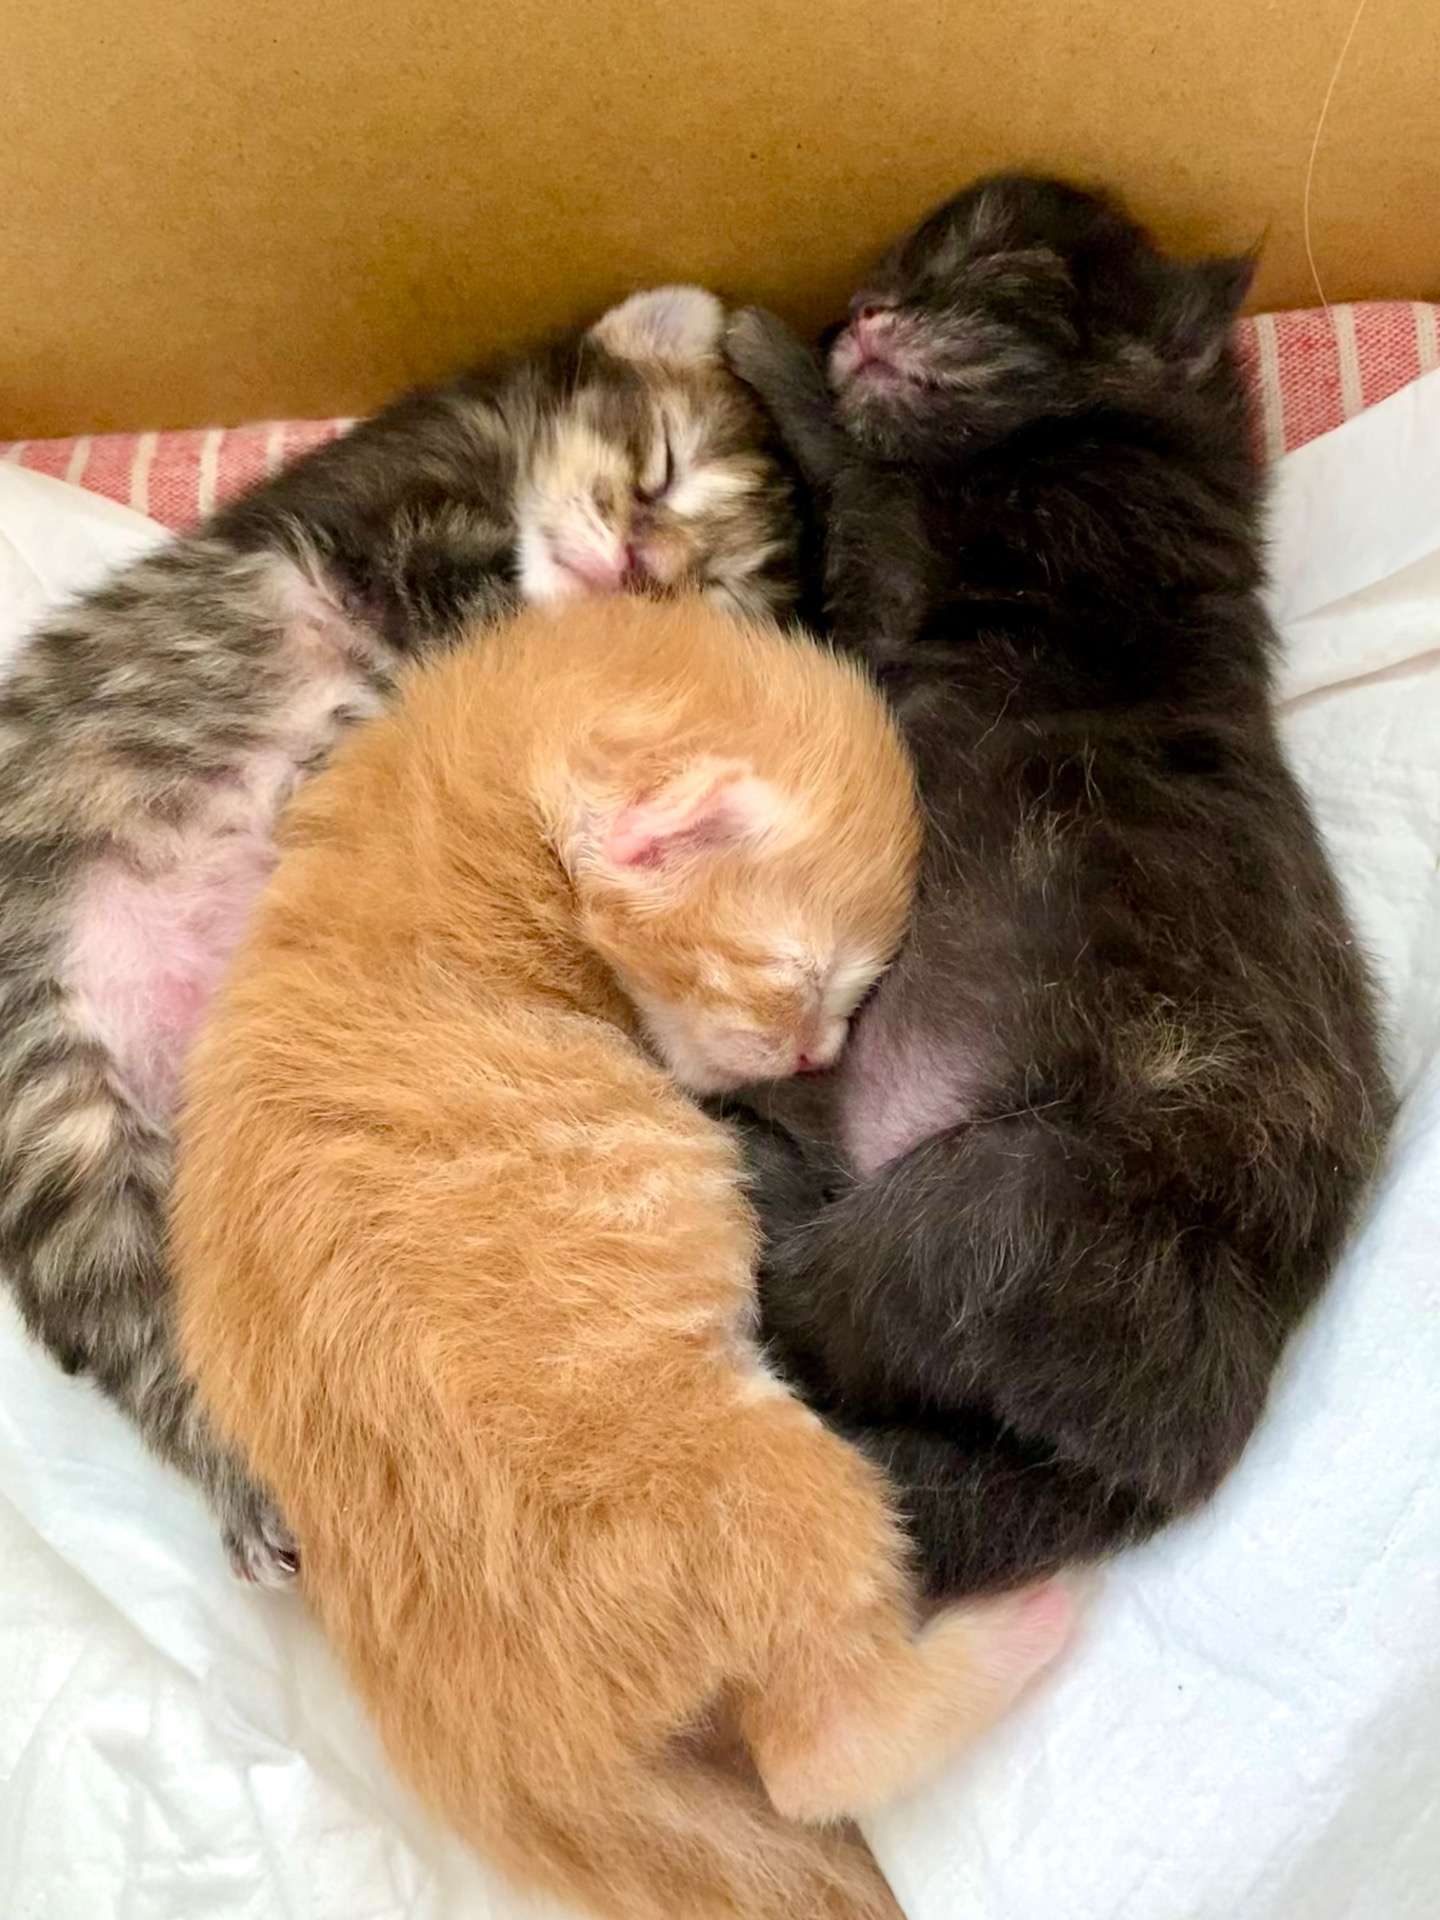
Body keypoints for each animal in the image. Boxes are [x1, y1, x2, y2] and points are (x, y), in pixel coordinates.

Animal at [0, 284, 801, 1584]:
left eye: (701, 596)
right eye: (664, 470)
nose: (639, 558)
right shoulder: (373, 514)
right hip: (57, 1112)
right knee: (149, 1346)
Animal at [169, 592, 1070, 1920]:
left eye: (856, 997)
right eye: (804, 982)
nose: (815, 1059)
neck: (453, 835)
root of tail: (500, 1749)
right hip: (764, 1479)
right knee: (820, 1756)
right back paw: (1028, 1629)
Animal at [724, 173, 1391, 1596]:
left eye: (994, 277)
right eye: (886, 268)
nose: (863, 313)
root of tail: (1159, 1475)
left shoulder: (905, 573)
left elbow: (855, 473)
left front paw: (766, 350)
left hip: (999, 1207)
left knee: (803, 1301)